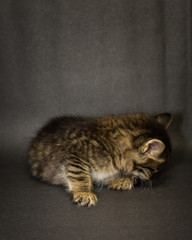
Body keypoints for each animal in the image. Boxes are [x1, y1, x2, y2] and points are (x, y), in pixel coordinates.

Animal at [28, 113, 172, 206]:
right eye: (154, 170)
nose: (149, 178)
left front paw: (119, 179)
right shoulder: (74, 157)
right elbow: (80, 175)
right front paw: (83, 192)